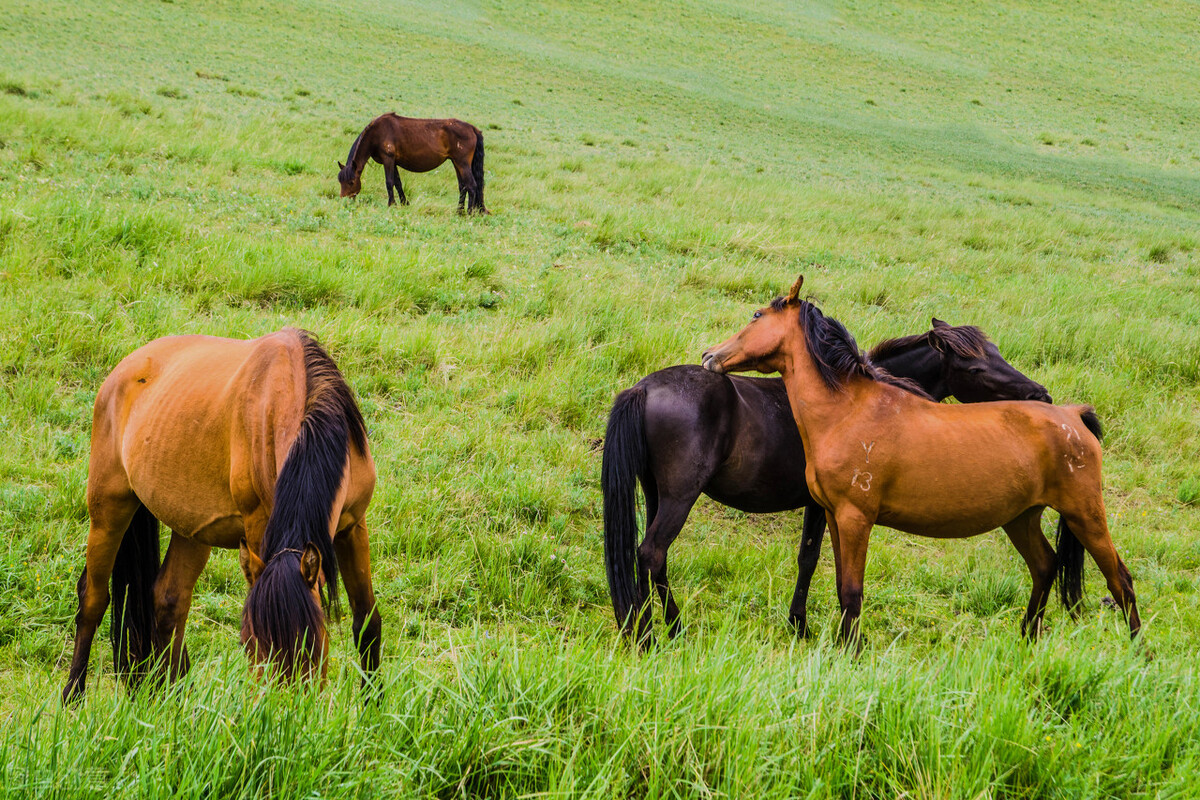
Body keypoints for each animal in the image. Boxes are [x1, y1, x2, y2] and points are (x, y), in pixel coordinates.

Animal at [63, 328, 381, 705]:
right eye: (249, 644)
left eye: (312, 644)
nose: (281, 712)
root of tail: (123, 370)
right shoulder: (259, 525)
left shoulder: (352, 526)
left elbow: (367, 620)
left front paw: (373, 706)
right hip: (109, 508)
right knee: (93, 598)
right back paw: (72, 696)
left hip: (191, 529)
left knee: (168, 600)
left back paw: (177, 700)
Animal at [338, 112, 487, 214]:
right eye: (340, 182)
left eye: (351, 182)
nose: (344, 200)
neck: (377, 133)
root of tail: (472, 128)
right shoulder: (394, 162)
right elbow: (397, 183)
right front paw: (404, 203)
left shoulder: (388, 159)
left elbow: (389, 182)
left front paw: (391, 204)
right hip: (456, 163)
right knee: (463, 186)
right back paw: (459, 211)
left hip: (463, 163)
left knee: (472, 185)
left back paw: (469, 213)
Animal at [600, 316, 1051, 642]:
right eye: (976, 367)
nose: (1040, 395)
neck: (851, 400)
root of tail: (644, 387)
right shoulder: (823, 505)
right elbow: (811, 558)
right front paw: (800, 625)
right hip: (680, 495)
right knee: (652, 552)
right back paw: (654, 634)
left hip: (657, 493)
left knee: (653, 560)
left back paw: (666, 627)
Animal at [700, 278, 1142, 647]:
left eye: (757, 316)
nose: (709, 355)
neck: (849, 410)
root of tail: (1072, 415)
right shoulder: (832, 515)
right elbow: (838, 582)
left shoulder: (855, 518)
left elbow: (851, 591)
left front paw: (851, 651)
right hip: (1021, 519)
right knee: (1045, 567)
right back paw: (1027, 641)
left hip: (1085, 515)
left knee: (1120, 581)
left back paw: (1139, 654)